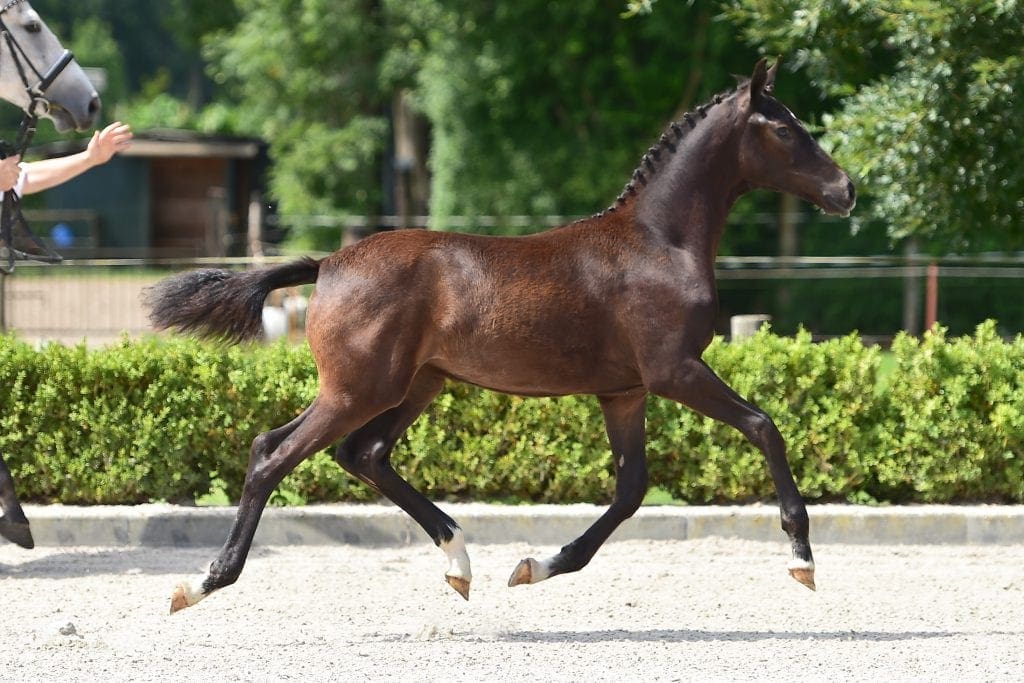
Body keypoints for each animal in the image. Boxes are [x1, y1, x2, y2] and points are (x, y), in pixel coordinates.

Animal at [146, 57, 856, 614]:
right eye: (785, 128)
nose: (846, 189)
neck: (660, 243)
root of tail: (326, 265)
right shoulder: (674, 370)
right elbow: (764, 425)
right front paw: (802, 557)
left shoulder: (624, 391)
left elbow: (631, 489)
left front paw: (536, 567)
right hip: (359, 388)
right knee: (275, 453)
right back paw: (201, 583)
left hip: (413, 384)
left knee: (362, 454)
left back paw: (460, 563)